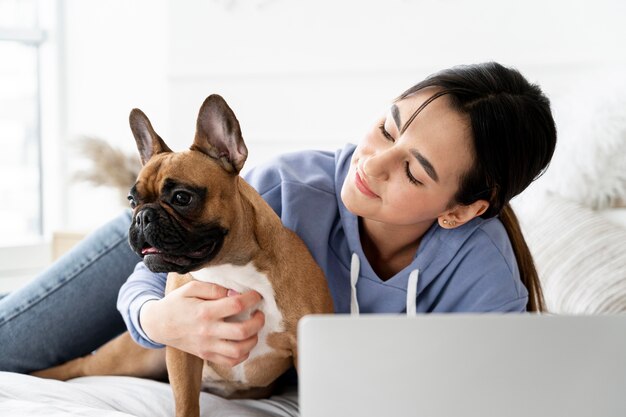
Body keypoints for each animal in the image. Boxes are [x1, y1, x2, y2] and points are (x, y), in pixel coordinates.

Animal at [33, 95, 336, 416]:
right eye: (132, 200)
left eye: (182, 197)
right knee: (81, 364)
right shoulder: (183, 345)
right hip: (133, 355)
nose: (142, 216)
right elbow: (186, 402)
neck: (230, 269)